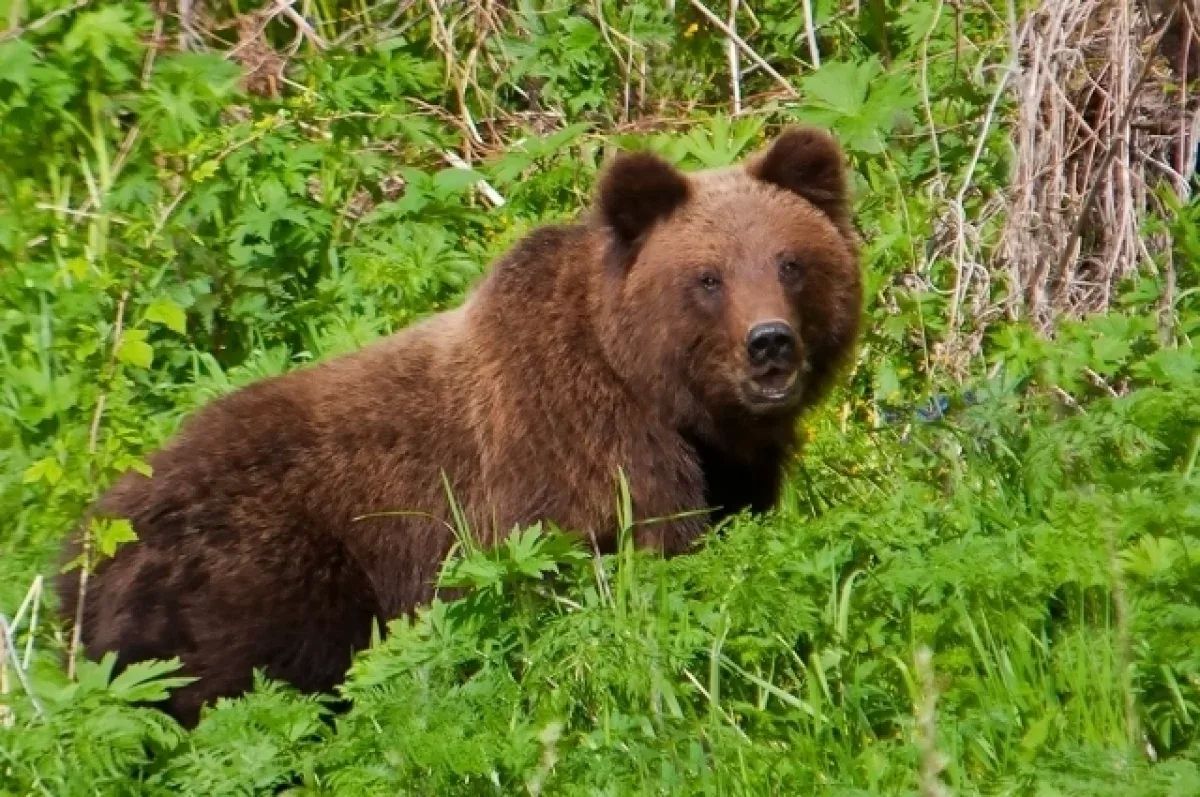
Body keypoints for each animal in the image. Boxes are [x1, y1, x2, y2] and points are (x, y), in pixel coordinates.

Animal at [57, 127, 863, 727]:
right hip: (248, 572)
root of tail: (83, 549)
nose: (769, 343)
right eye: (708, 277)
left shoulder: (731, 469)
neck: (660, 396)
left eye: (791, 262)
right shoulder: (567, 453)